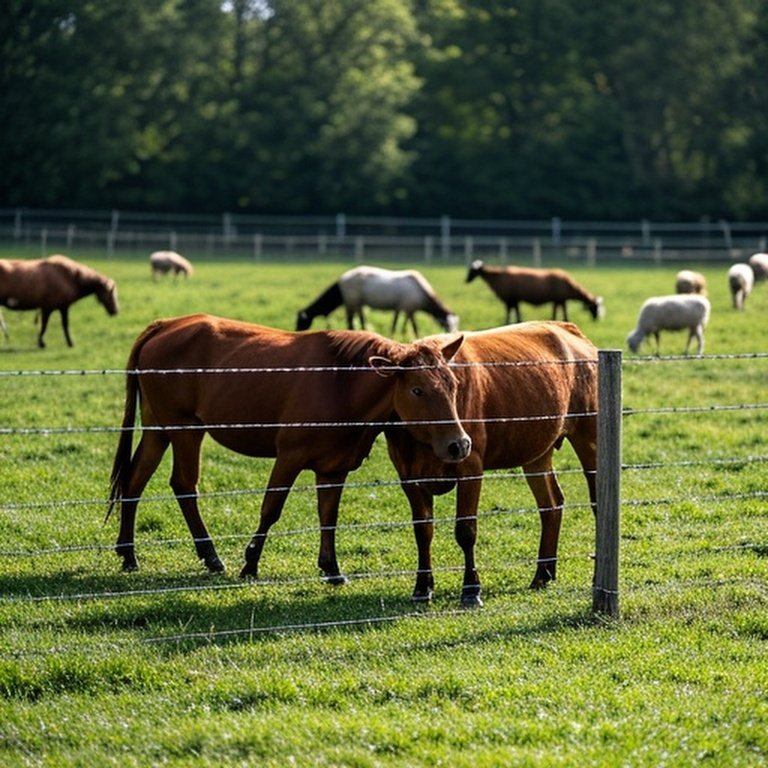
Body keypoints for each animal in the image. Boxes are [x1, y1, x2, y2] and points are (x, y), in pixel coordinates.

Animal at [107, 314, 472, 583]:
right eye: (417, 390)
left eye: (453, 385)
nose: (459, 444)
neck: (342, 383)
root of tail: (166, 325)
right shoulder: (289, 456)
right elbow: (271, 508)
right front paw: (250, 562)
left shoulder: (334, 467)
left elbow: (328, 515)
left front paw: (332, 568)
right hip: (185, 429)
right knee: (183, 484)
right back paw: (211, 556)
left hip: (158, 428)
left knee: (135, 480)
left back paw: (128, 553)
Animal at [296, 265, 459, 336]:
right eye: (448, 325)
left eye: (455, 325)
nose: (453, 334)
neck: (423, 294)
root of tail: (341, 281)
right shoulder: (409, 308)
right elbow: (413, 326)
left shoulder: (401, 308)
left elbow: (396, 323)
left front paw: (396, 334)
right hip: (352, 302)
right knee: (350, 321)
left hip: (357, 303)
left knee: (358, 320)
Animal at [383, 321, 598, 607]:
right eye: (416, 390)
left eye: (453, 385)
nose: (460, 444)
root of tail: (567, 329)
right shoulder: (407, 476)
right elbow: (423, 531)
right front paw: (422, 587)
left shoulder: (471, 467)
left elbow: (466, 529)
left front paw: (471, 589)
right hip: (536, 452)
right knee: (551, 504)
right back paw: (543, 573)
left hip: (589, 437)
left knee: (598, 501)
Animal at [465, 260, 604, 323]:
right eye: (595, 307)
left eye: (472, 270)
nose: (596, 319)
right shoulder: (512, 299)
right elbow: (513, 312)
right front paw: (510, 322)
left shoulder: (559, 300)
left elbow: (560, 313)